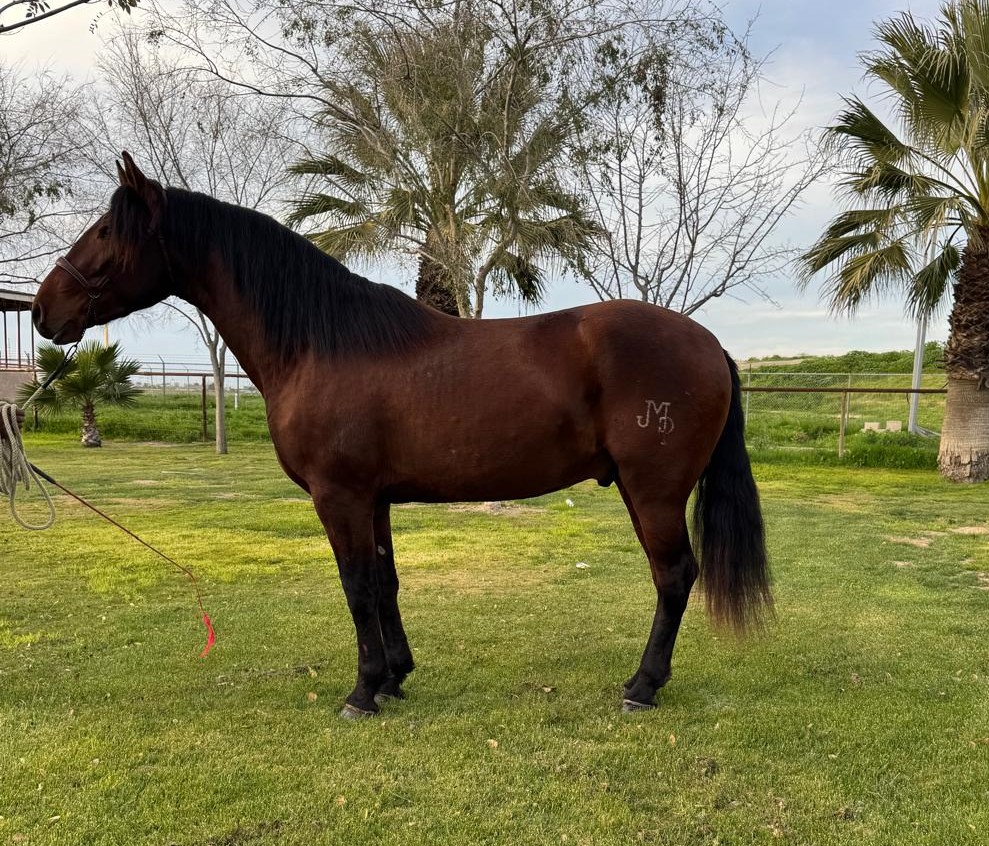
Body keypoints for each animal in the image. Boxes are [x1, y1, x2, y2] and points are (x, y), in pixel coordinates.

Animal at [31, 153, 771, 718]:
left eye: (107, 230)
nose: (41, 310)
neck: (321, 343)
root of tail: (709, 344)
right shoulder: (374, 498)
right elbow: (384, 582)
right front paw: (394, 676)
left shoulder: (339, 496)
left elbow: (356, 585)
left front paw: (362, 692)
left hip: (652, 492)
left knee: (673, 575)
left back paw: (642, 686)